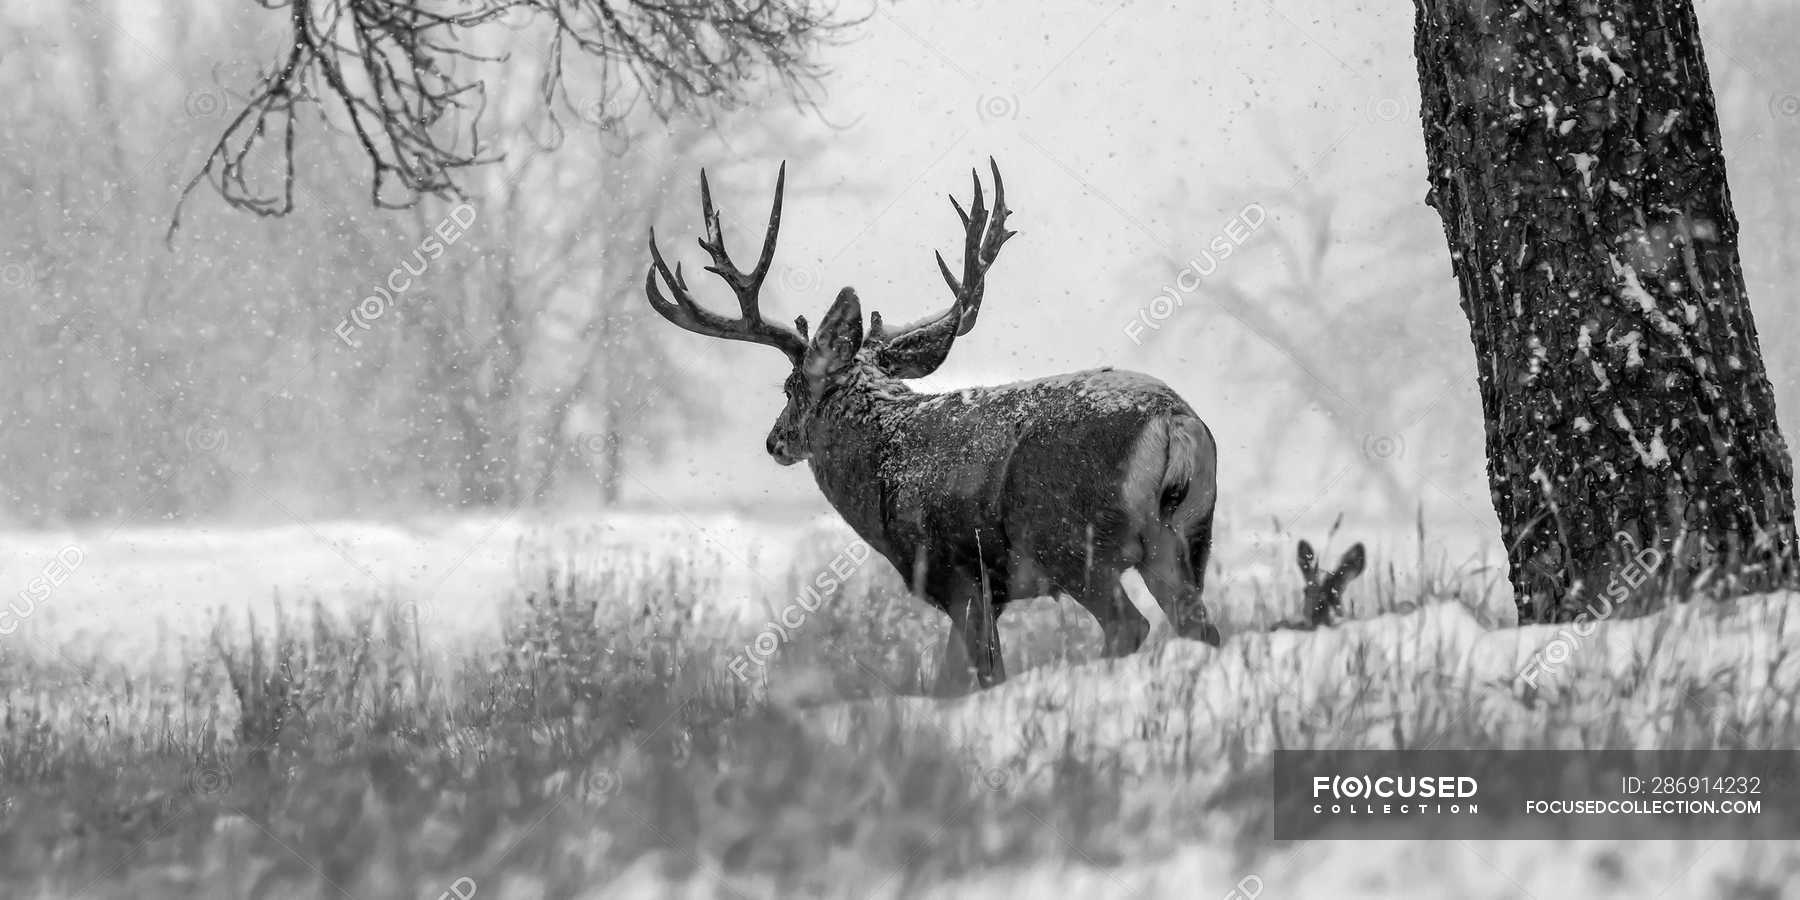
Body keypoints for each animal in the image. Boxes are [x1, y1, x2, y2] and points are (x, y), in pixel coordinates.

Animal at [644, 160, 1224, 694]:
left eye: (790, 388)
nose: (773, 441)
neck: (885, 461)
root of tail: (1174, 421)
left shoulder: (955, 573)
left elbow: (970, 676)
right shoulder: (987, 590)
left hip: (1067, 541)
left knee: (1129, 626)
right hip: (1185, 539)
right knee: (1200, 628)